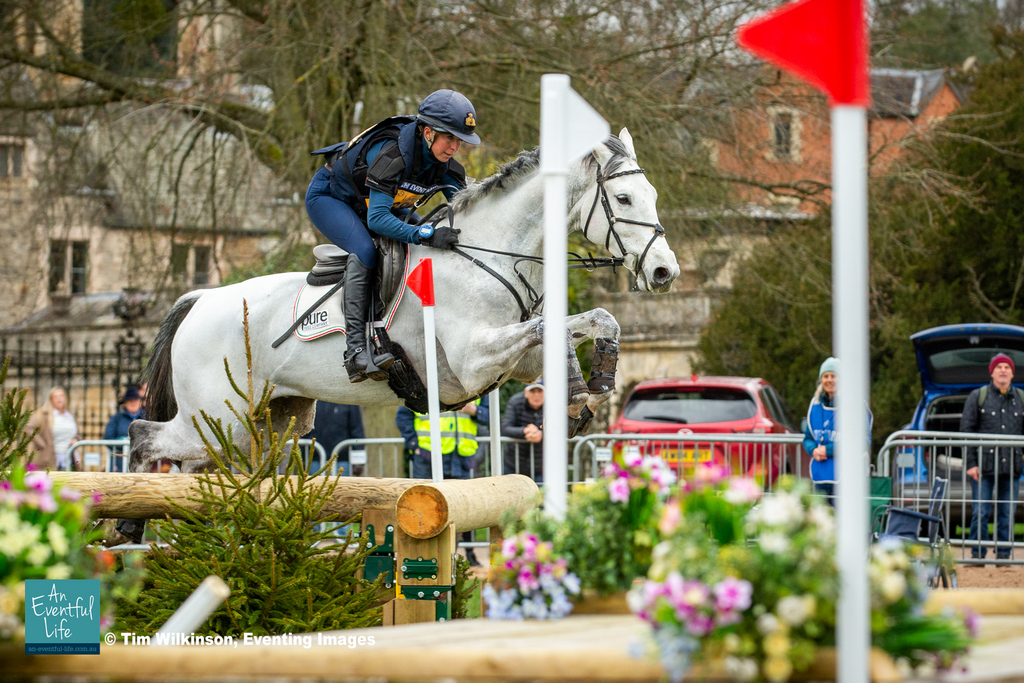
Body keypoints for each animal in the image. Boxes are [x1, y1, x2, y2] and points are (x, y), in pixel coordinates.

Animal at [127, 128, 679, 477]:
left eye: (653, 194)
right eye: (624, 200)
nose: (664, 272)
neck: (487, 254)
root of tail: (200, 299)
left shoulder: (512, 364)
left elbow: (596, 319)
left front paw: (597, 381)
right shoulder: (474, 362)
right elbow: (553, 327)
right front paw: (580, 387)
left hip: (267, 423)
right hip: (214, 417)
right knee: (143, 435)